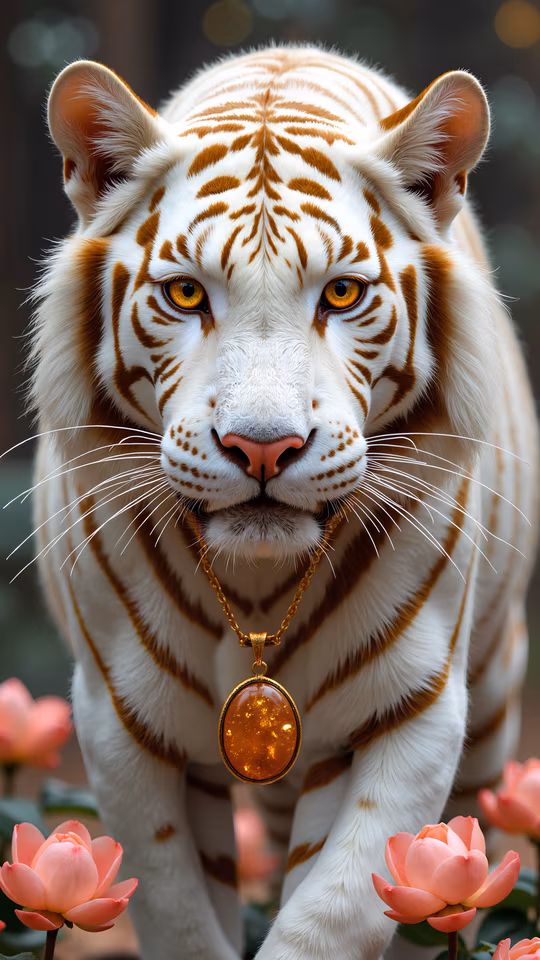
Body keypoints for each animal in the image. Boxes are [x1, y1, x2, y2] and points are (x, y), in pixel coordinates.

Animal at [30, 45, 537, 960]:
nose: (262, 447)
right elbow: (177, 913)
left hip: (489, 709)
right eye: (185, 295)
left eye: (341, 294)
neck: (259, 587)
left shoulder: (412, 712)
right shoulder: (120, 724)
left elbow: (331, 915)